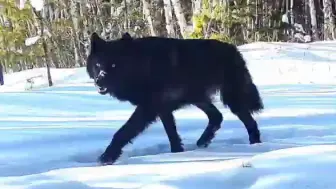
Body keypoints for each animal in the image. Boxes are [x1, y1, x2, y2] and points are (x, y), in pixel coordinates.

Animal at [85, 31, 264, 165]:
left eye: (114, 65)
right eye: (98, 65)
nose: (99, 80)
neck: (143, 67)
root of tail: (233, 49)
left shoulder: (148, 108)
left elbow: (124, 131)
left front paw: (107, 157)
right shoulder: (162, 109)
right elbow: (172, 133)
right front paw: (177, 153)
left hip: (230, 99)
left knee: (249, 121)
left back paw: (255, 146)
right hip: (197, 98)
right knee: (217, 116)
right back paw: (203, 141)